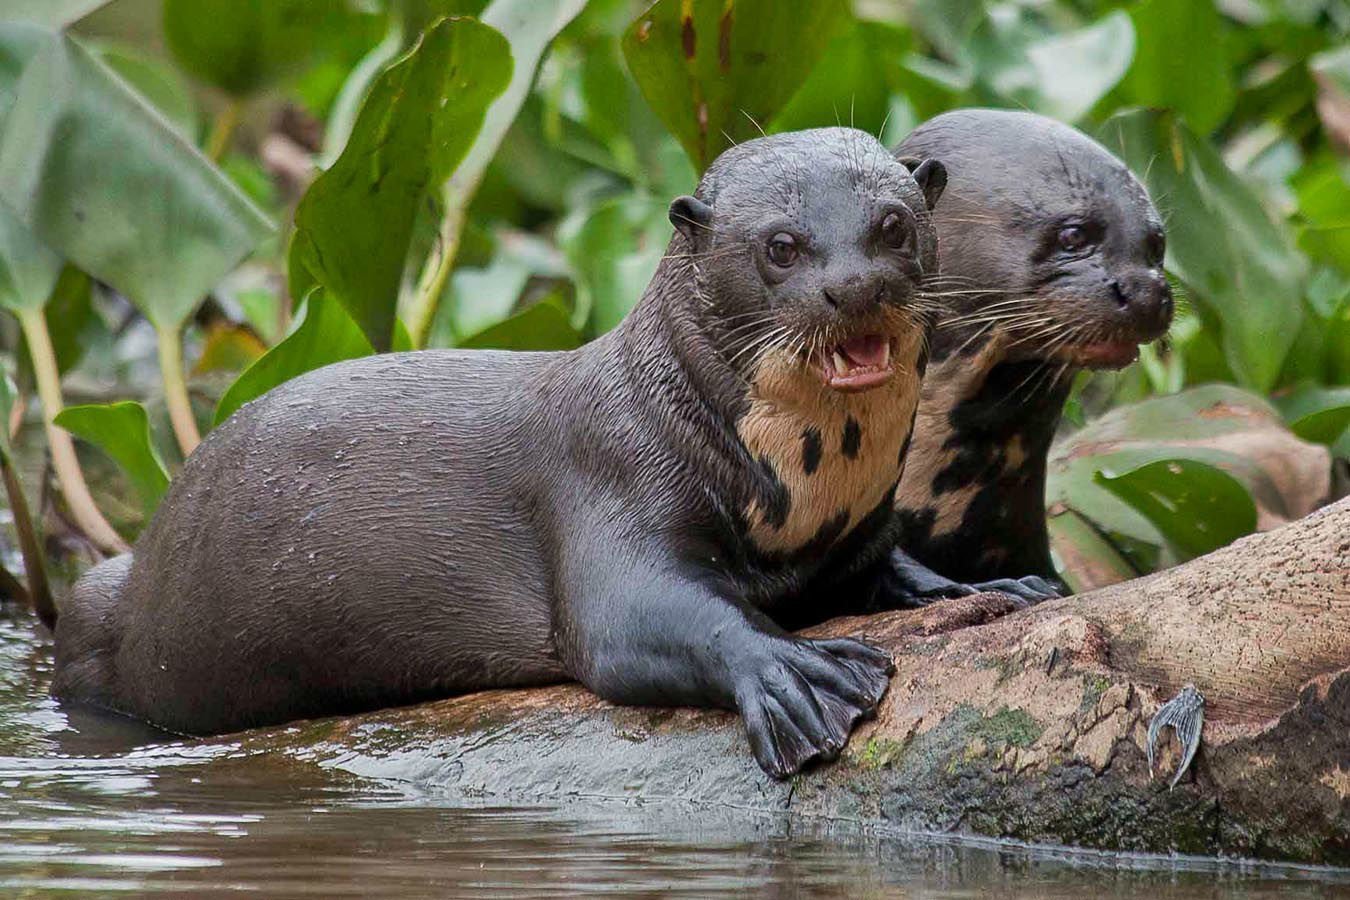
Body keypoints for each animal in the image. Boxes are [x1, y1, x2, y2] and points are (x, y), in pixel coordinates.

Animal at [51, 128, 949, 779]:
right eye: (782, 246)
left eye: (892, 226)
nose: (856, 287)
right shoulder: (616, 476)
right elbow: (636, 622)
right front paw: (801, 675)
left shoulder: (860, 530)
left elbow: (891, 567)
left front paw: (972, 586)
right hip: (102, 606)